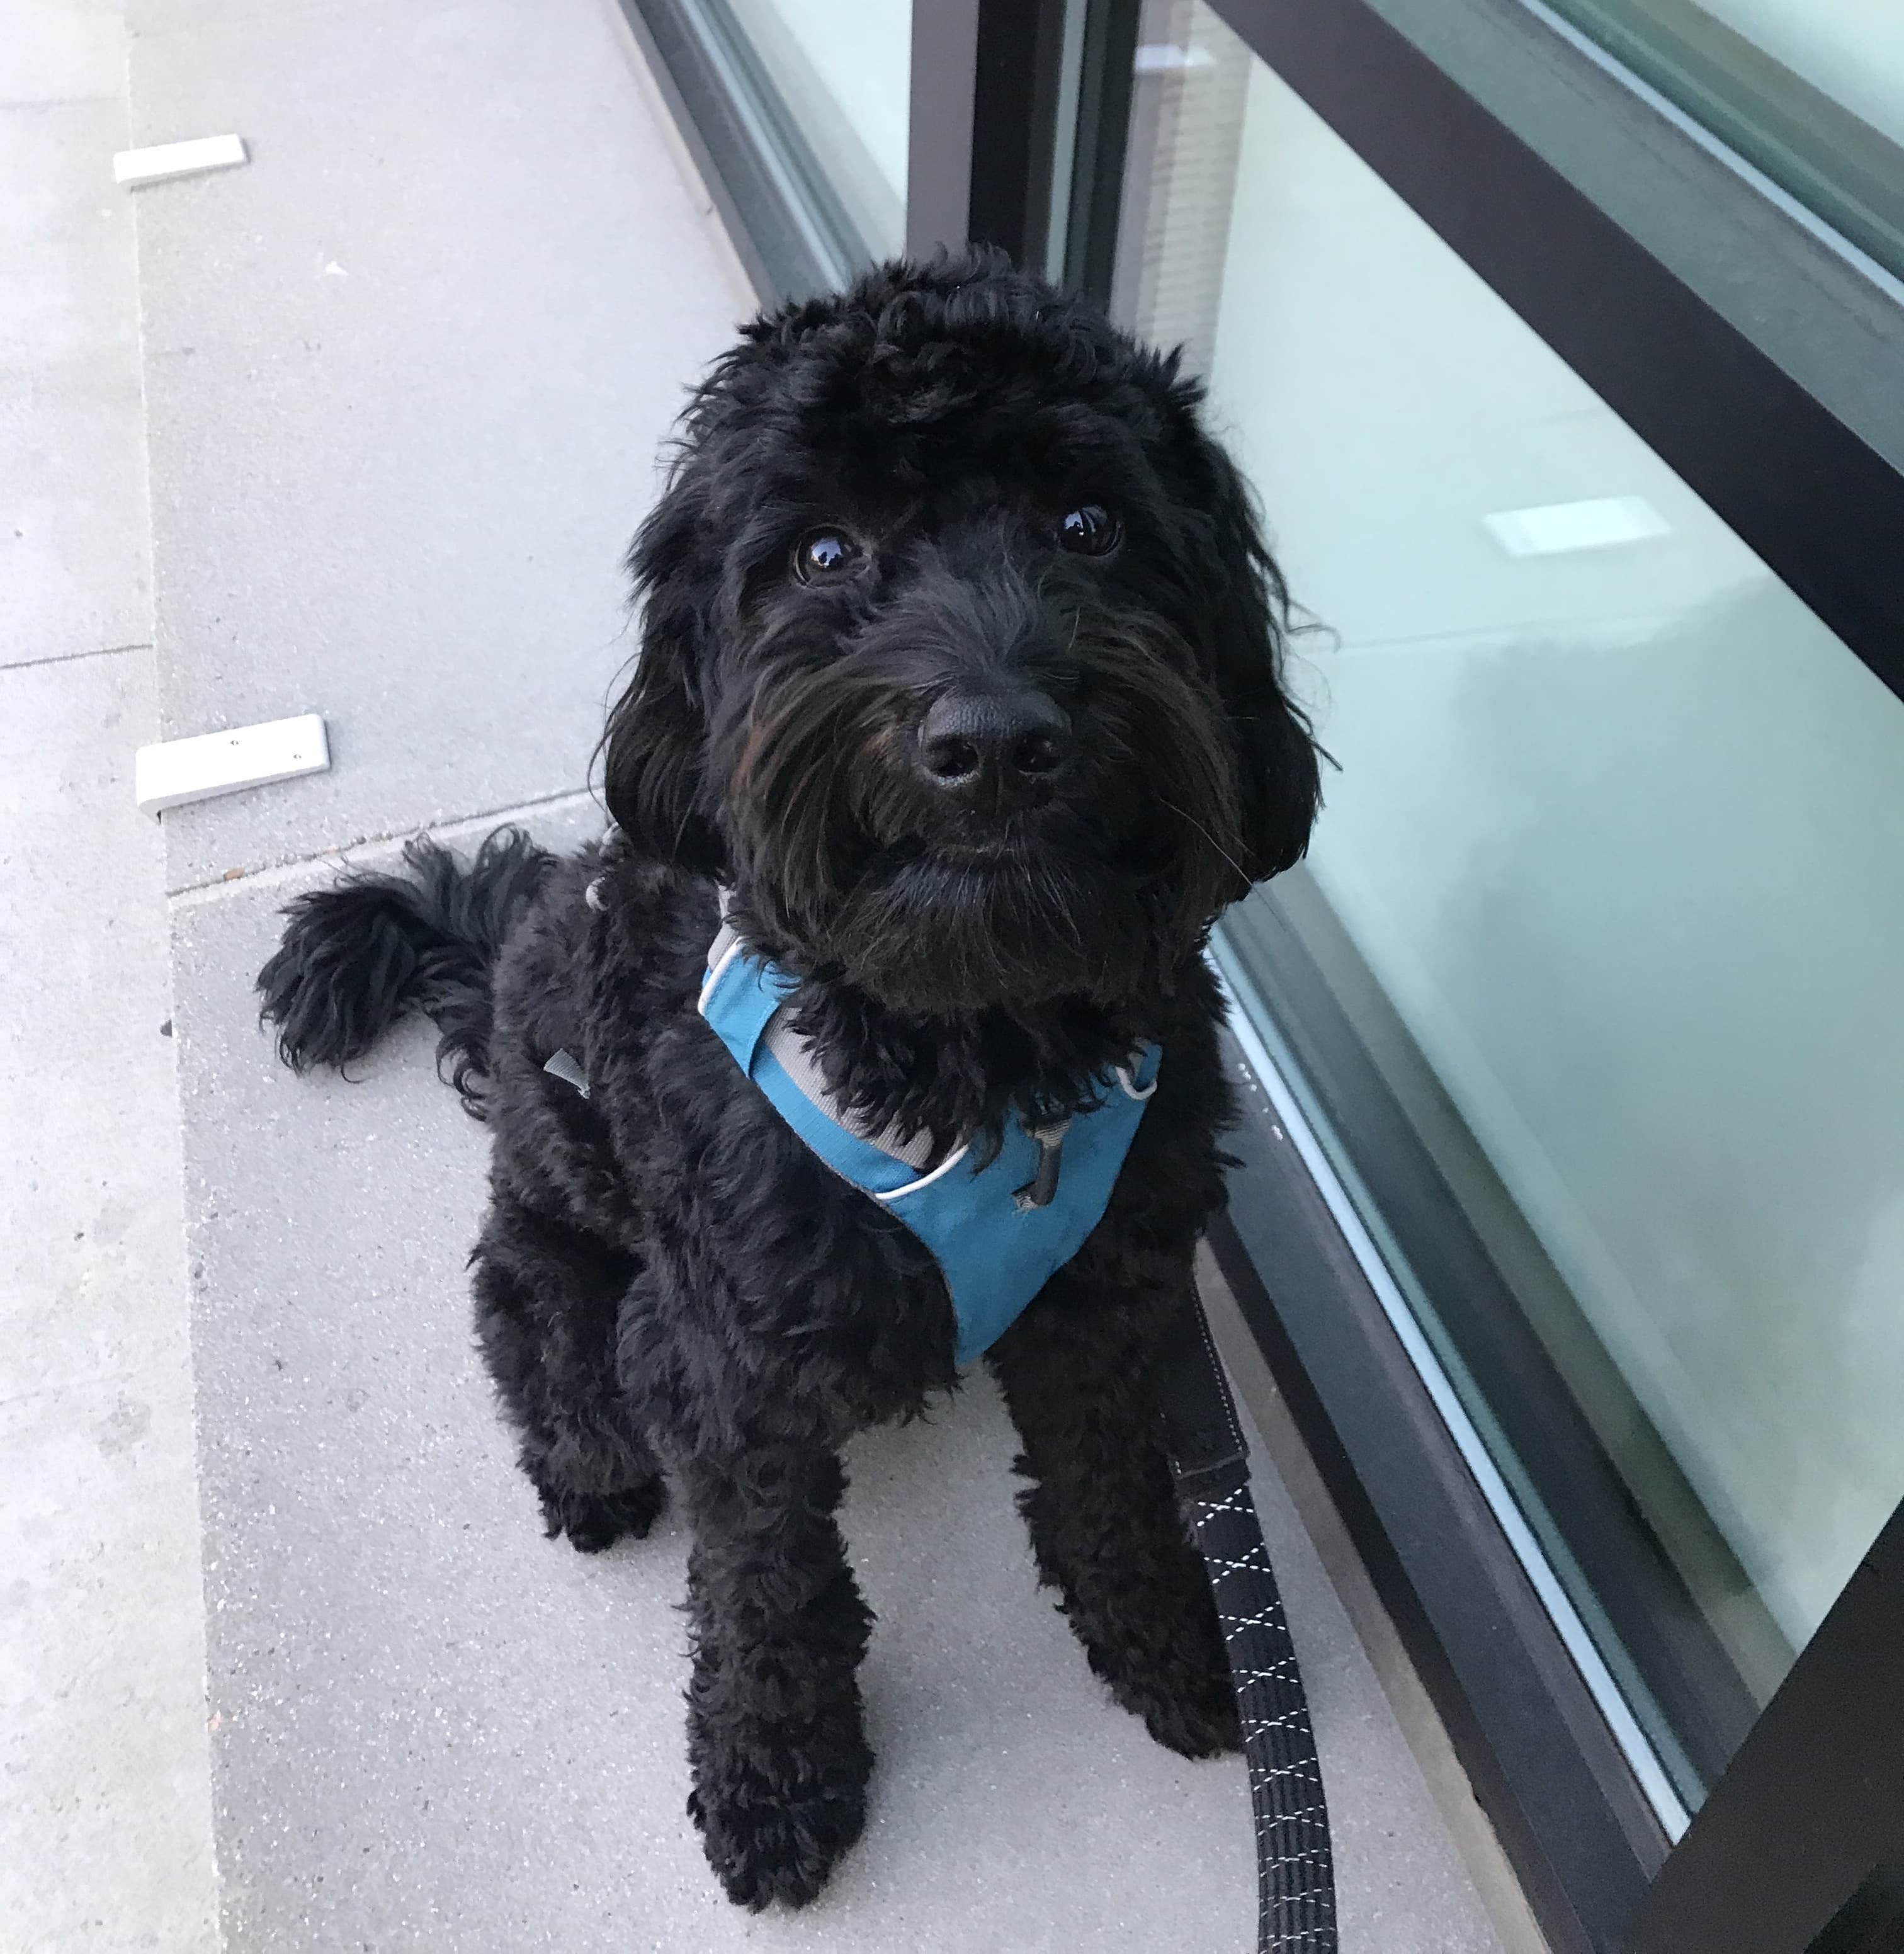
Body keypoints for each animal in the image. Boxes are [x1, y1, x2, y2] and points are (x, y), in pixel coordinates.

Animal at [258, 252, 1328, 1914]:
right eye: (825, 552)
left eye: (1090, 525)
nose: (995, 738)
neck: (980, 1061)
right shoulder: (727, 1364)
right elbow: (769, 1588)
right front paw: (777, 1775)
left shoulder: (1108, 1296)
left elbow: (1111, 1485)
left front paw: (1167, 1638)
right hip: (575, 1229)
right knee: (524, 1302)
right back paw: (587, 1457)